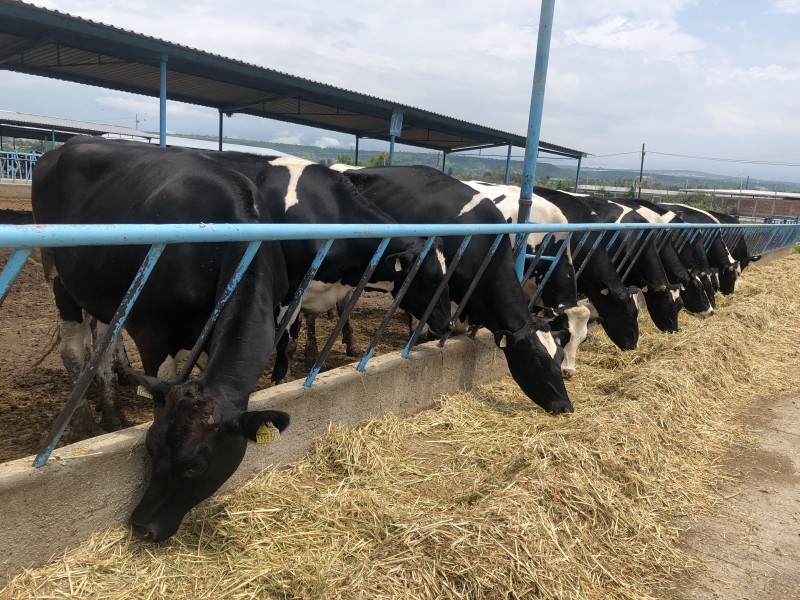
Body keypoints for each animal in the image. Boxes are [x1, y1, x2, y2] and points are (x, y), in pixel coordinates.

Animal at [33, 137, 294, 544]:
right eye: (151, 448)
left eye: (195, 466)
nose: (142, 525)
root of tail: (69, 144)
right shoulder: (152, 333)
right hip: (57, 273)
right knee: (73, 349)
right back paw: (87, 424)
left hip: (101, 291)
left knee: (100, 349)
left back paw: (111, 413)